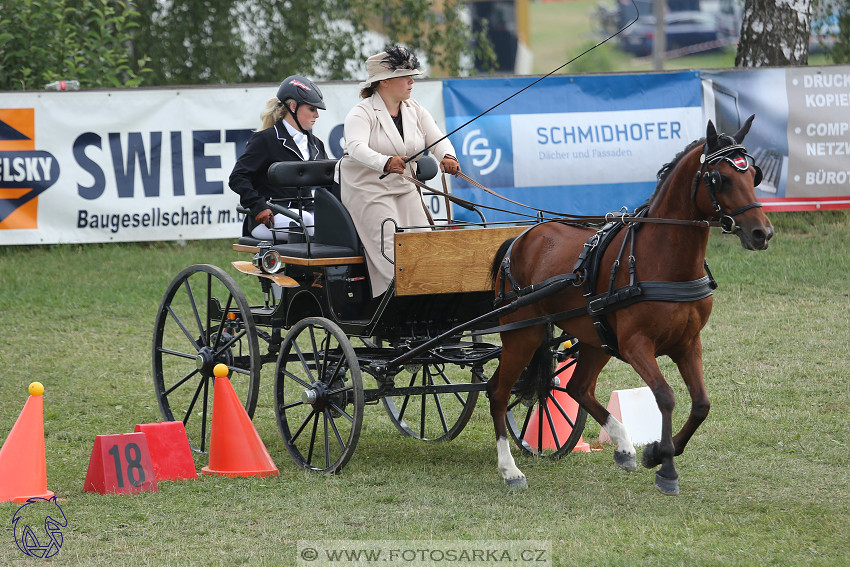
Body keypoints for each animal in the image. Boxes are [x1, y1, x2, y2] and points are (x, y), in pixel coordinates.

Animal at [484, 116, 768, 496]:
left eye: (754, 176)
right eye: (719, 178)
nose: (762, 233)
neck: (660, 259)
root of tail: (520, 238)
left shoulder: (688, 343)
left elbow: (701, 405)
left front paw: (657, 452)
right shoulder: (636, 345)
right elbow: (665, 396)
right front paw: (666, 467)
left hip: (593, 337)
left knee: (577, 388)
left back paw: (623, 446)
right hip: (522, 334)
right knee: (498, 392)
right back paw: (510, 469)